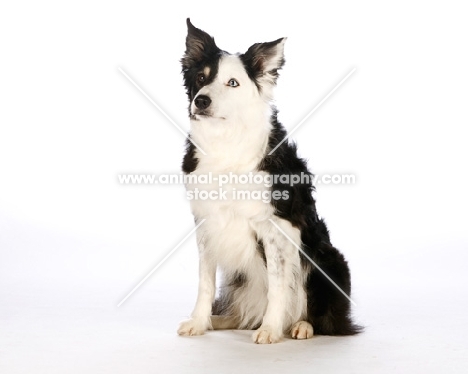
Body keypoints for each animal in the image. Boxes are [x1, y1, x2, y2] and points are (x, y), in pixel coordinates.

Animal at [177, 19, 360, 344]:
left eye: (233, 83)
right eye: (201, 78)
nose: (201, 101)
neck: (226, 142)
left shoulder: (277, 226)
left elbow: (278, 285)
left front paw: (271, 329)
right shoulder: (206, 222)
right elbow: (205, 282)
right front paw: (198, 322)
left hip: (327, 259)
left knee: (319, 313)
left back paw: (300, 326)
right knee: (244, 312)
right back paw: (222, 320)